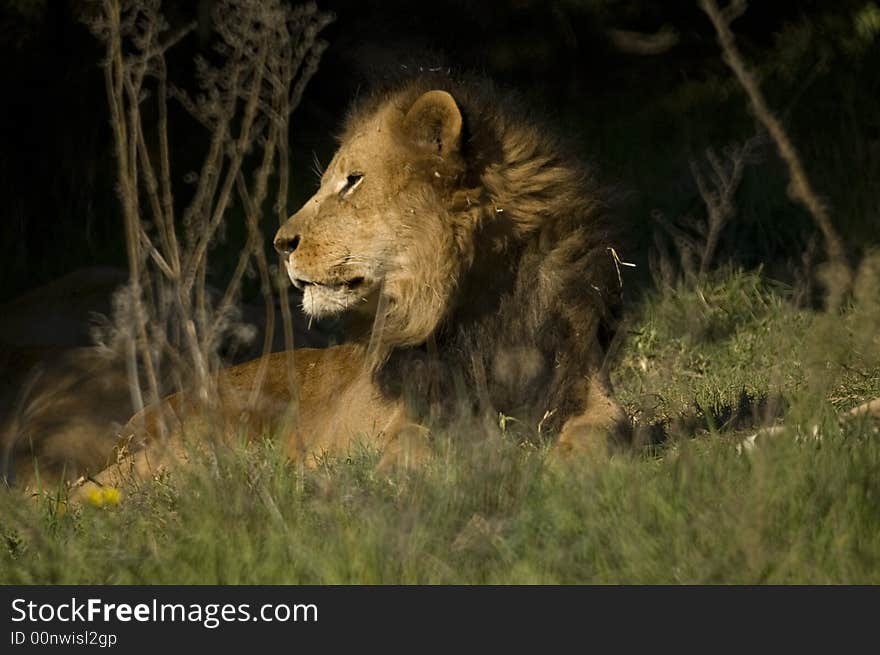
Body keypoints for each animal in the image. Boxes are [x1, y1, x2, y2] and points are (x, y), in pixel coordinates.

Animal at [70, 75, 632, 498]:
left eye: (353, 181)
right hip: (191, 447)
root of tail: (137, 420)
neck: (478, 307)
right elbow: (411, 441)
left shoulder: (586, 387)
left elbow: (605, 430)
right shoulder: (411, 411)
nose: (281, 243)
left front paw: (569, 475)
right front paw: (391, 479)